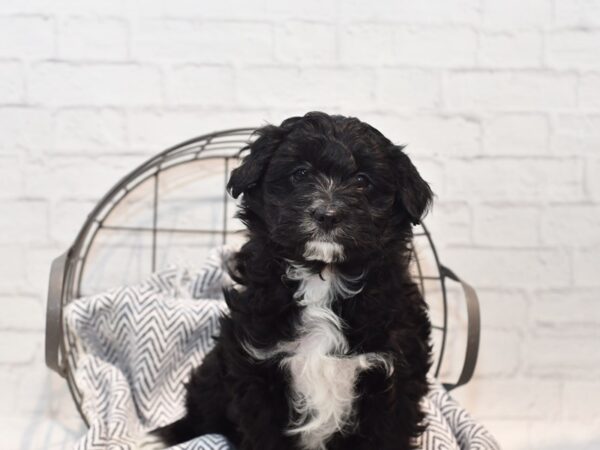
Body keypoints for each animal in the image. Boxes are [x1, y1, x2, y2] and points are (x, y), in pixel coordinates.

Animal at [152, 112, 434, 450]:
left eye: (363, 181)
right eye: (300, 173)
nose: (327, 214)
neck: (322, 278)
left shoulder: (396, 379)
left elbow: (388, 434)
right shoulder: (256, 372)